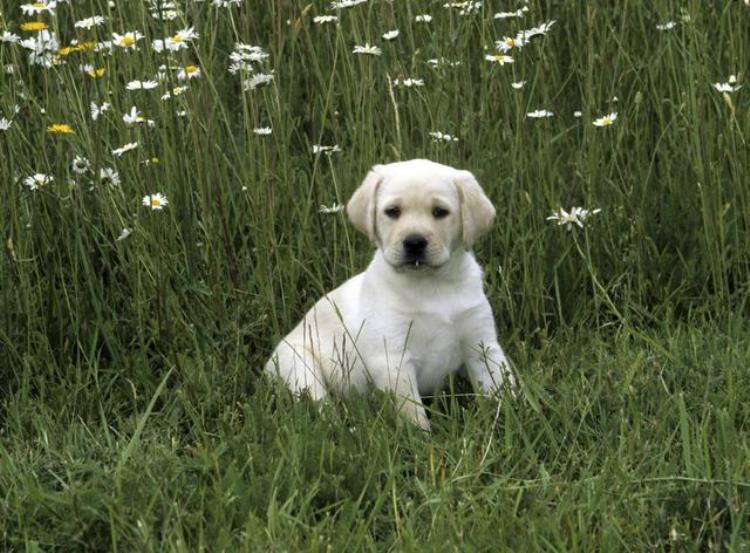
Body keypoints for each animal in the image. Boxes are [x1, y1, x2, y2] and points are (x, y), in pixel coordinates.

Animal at [266, 157, 516, 430]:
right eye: (393, 211)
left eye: (440, 212)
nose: (414, 242)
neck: (432, 285)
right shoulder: (393, 359)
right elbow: (411, 411)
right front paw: (419, 438)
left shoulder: (482, 346)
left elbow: (502, 388)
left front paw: (515, 417)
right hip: (298, 366)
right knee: (322, 407)